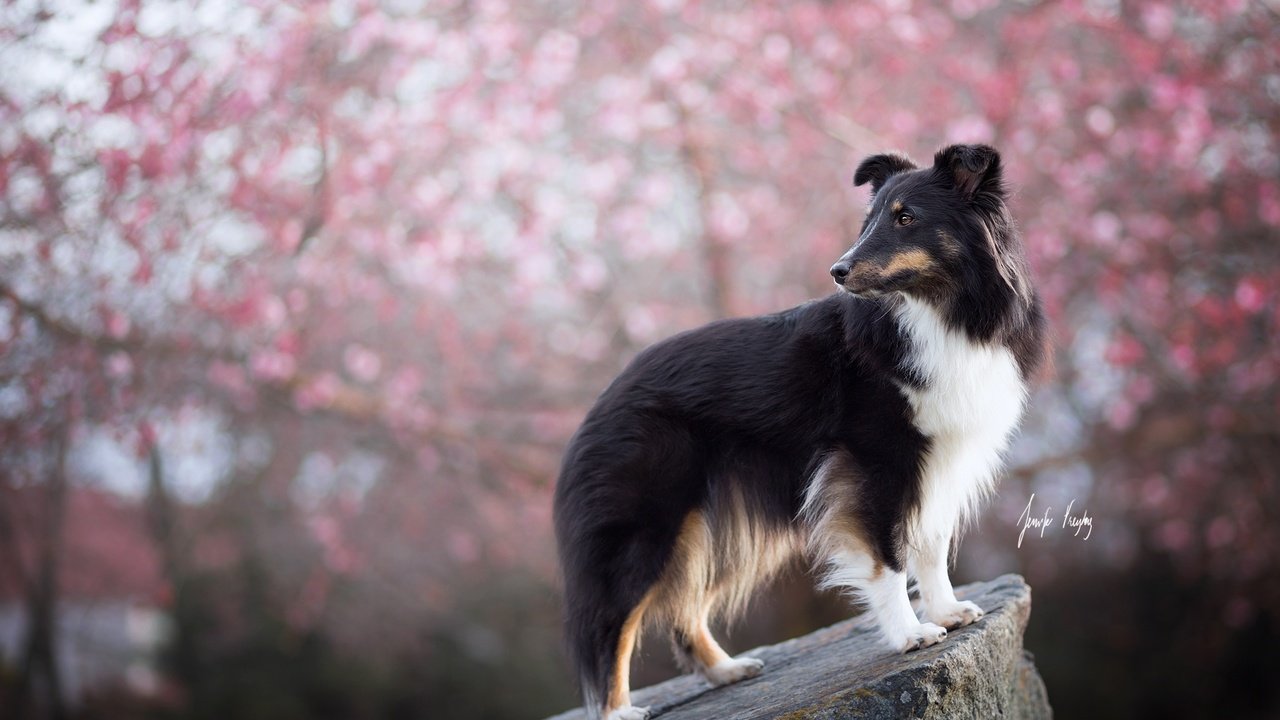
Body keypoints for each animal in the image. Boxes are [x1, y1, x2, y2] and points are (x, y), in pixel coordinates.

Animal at [550, 142, 1039, 712]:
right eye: (869, 221)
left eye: (906, 218)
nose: (838, 270)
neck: (936, 313)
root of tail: (600, 402)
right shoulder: (876, 461)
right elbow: (889, 555)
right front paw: (911, 634)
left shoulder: (940, 458)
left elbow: (931, 545)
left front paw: (947, 611)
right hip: (647, 526)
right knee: (611, 623)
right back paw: (620, 709)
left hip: (701, 529)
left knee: (683, 608)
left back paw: (728, 669)